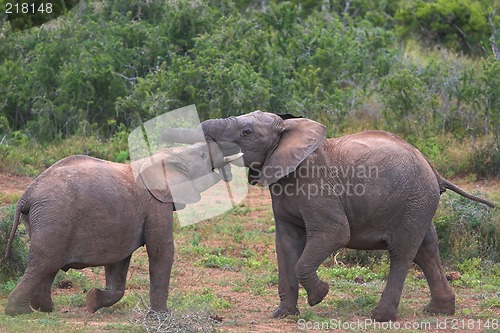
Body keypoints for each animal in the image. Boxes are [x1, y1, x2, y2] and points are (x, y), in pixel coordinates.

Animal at [3, 141, 238, 316]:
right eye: (202, 155)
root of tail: (26, 195)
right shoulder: (155, 203)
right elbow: (160, 250)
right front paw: (162, 315)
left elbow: (118, 261)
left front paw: (92, 301)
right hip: (53, 216)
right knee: (44, 263)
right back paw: (19, 311)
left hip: (44, 219)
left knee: (48, 265)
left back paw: (46, 309)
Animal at [162, 111, 494, 322]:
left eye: (247, 132)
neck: (289, 130)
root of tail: (435, 171)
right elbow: (286, 244)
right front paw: (283, 315)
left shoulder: (316, 186)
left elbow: (334, 234)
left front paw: (319, 296)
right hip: (418, 203)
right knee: (427, 249)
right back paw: (439, 311)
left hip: (414, 200)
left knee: (402, 253)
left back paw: (380, 317)